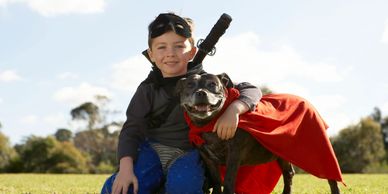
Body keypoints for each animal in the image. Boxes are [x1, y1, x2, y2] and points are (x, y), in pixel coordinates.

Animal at [176, 73, 340, 194]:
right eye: (190, 85)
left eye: (212, 84)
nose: (201, 93)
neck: (209, 124)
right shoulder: (208, 158)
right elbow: (217, 182)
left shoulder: (233, 156)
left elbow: (228, 182)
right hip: (282, 154)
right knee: (288, 174)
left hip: (315, 149)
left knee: (331, 176)